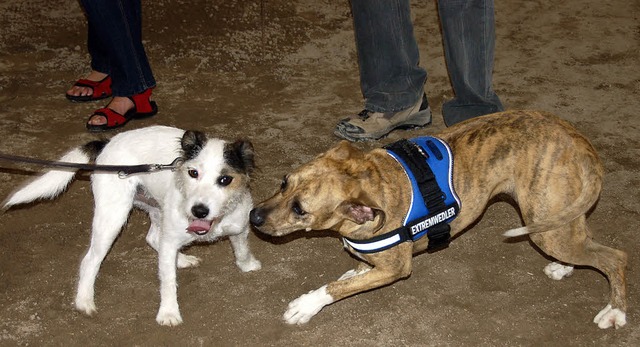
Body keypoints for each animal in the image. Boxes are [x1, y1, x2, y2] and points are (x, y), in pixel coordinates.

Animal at [3, 125, 262, 326]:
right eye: (193, 172)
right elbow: (168, 282)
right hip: (112, 217)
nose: (198, 210)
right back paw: (84, 301)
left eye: (225, 179)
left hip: (155, 208)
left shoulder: (239, 228)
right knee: (91, 260)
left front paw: (247, 265)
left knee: (153, 238)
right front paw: (168, 313)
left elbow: (242, 249)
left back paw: (181, 259)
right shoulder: (171, 240)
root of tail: (108, 142)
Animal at [251, 110, 632, 330]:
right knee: (585, 242)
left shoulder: (396, 269)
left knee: (615, 257)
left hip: (545, 225)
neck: (372, 181)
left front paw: (306, 305)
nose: (253, 216)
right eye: (283, 182)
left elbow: (336, 287)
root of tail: (579, 140)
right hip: (554, 216)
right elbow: (354, 272)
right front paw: (351, 271)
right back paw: (564, 267)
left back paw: (615, 312)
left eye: (300, 209)